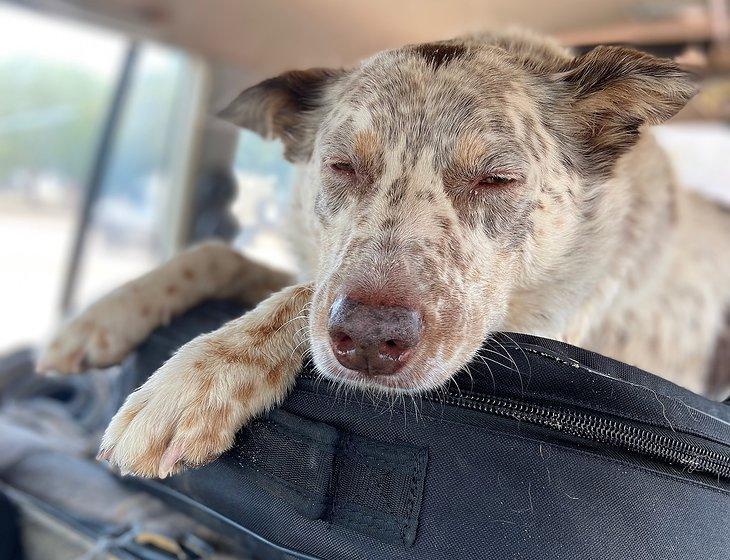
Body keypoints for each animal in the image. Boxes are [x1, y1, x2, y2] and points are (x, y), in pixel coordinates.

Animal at [37, 30, 724, 476]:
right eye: (341, 166)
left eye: (498, 178)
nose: (369, 340)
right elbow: (221, 256)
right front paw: (101, 315)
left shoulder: (545, 323)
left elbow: (297, 297)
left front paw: (189, 383)